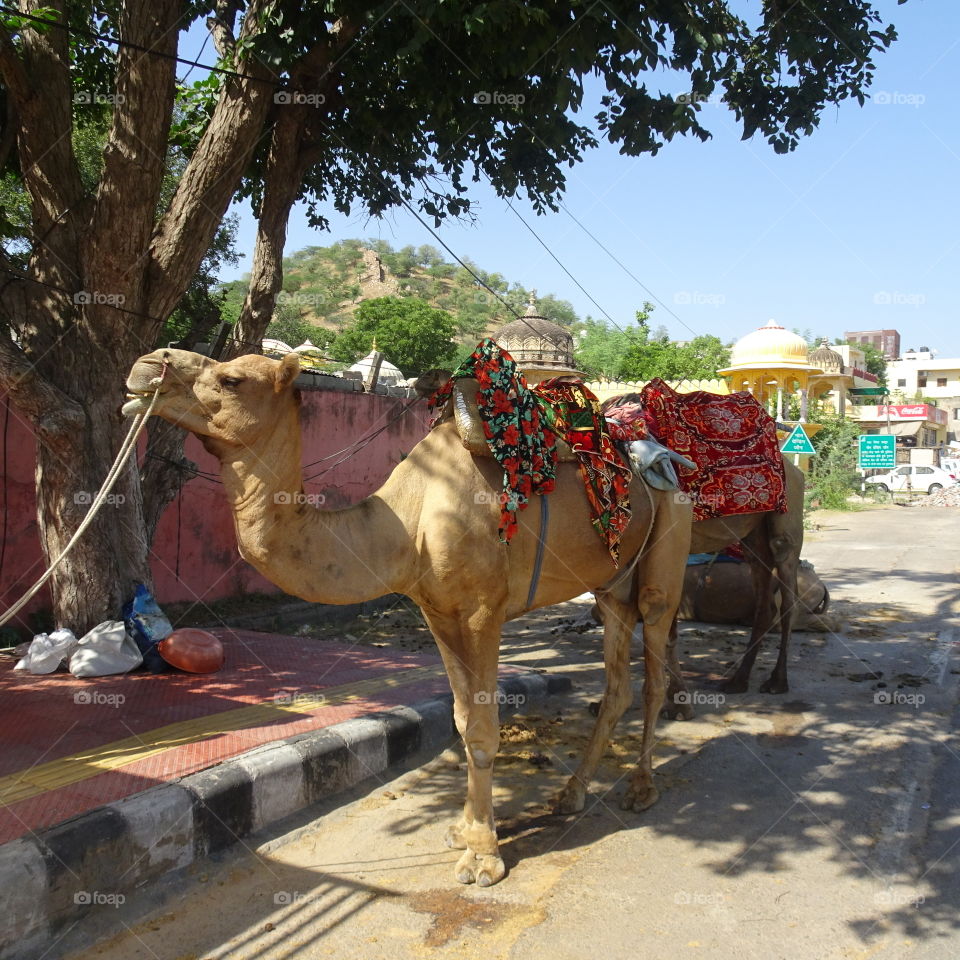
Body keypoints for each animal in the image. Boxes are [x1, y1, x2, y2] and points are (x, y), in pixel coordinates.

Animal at [123, 348, 692, 887]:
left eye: (231, 379)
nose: (146, 367)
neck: (410, 520)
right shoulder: (437, 611)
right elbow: (462, 720)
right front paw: (463, 829)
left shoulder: (483, 611)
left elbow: (483, 728)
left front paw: (483, 858)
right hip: (611, 585)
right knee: (617, 682)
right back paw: (571, 794)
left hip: (666, 553)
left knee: (654, 669)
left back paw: (642, 788)